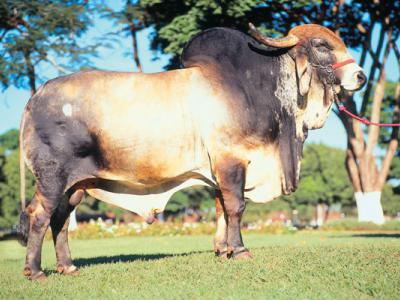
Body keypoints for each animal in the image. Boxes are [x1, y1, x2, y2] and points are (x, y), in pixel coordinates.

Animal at [19, 22, 366, 278]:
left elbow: (221, 208)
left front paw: (223, 250)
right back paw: (36, 272)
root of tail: (35, 97)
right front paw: (240, 250)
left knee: (61, 220)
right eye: (322, 46)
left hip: (76, 186)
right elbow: (236, 207)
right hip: (53, 178)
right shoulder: (232, 160)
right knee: (39, 215)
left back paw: (67, 267)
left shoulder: (218, 171)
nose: (361, 76)